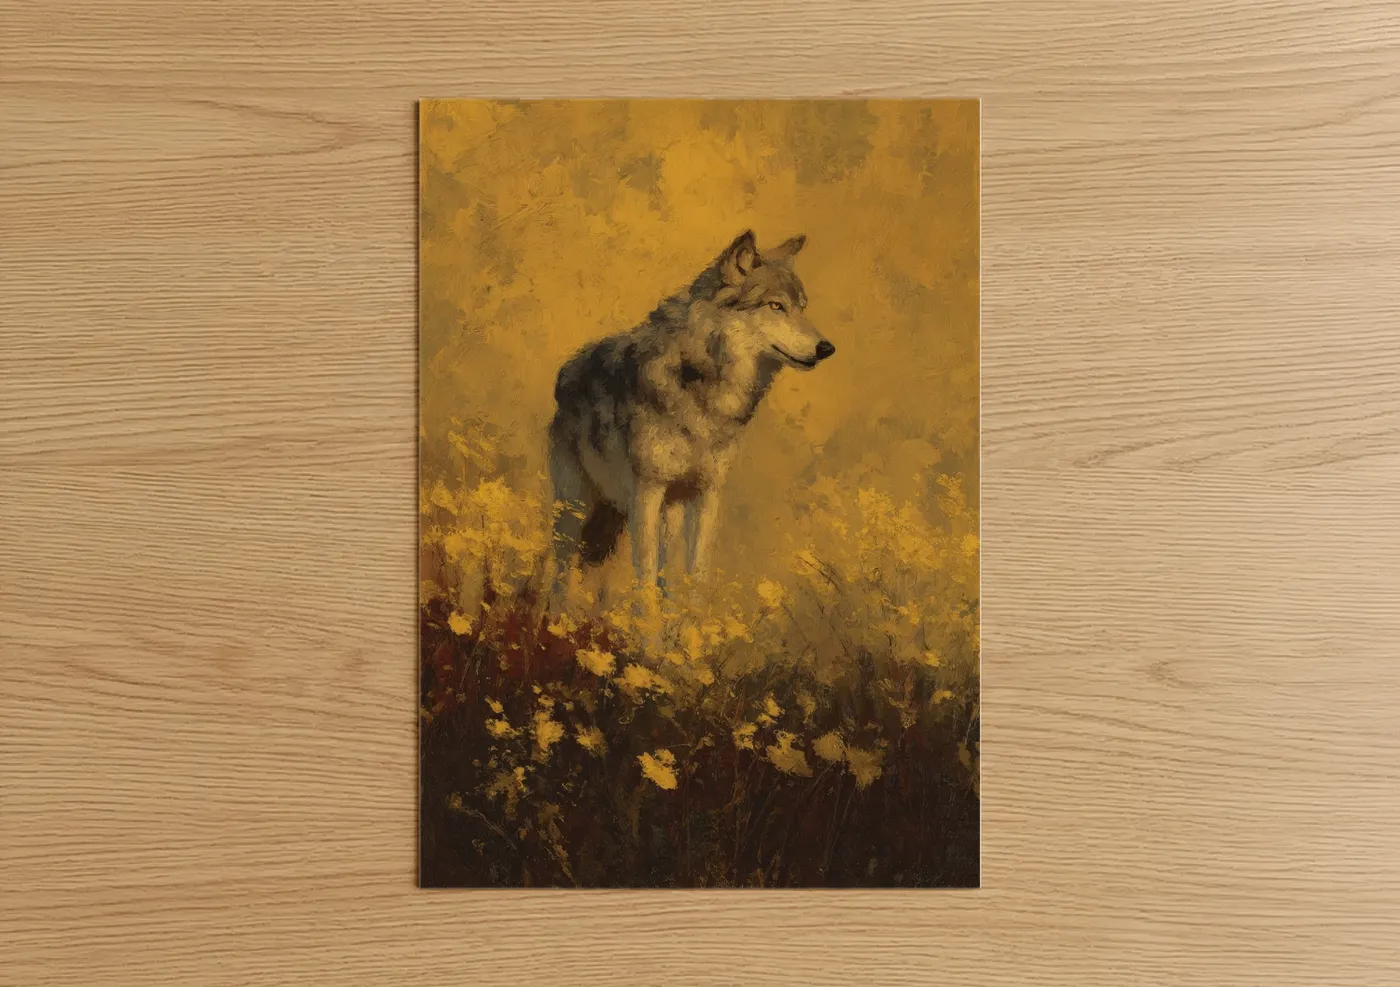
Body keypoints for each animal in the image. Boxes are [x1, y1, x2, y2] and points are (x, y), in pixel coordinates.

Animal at [549, 230, 835, 595]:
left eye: (801, 308)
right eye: (775, 306)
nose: (827, 348)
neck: (703, 386)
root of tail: (566, 371)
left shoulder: (706, 494)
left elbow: (696, 575)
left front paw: (692, 613)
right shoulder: (647, 493)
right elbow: (645, 584)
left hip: (655, 514)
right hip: (576, 510)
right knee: (560, 572)